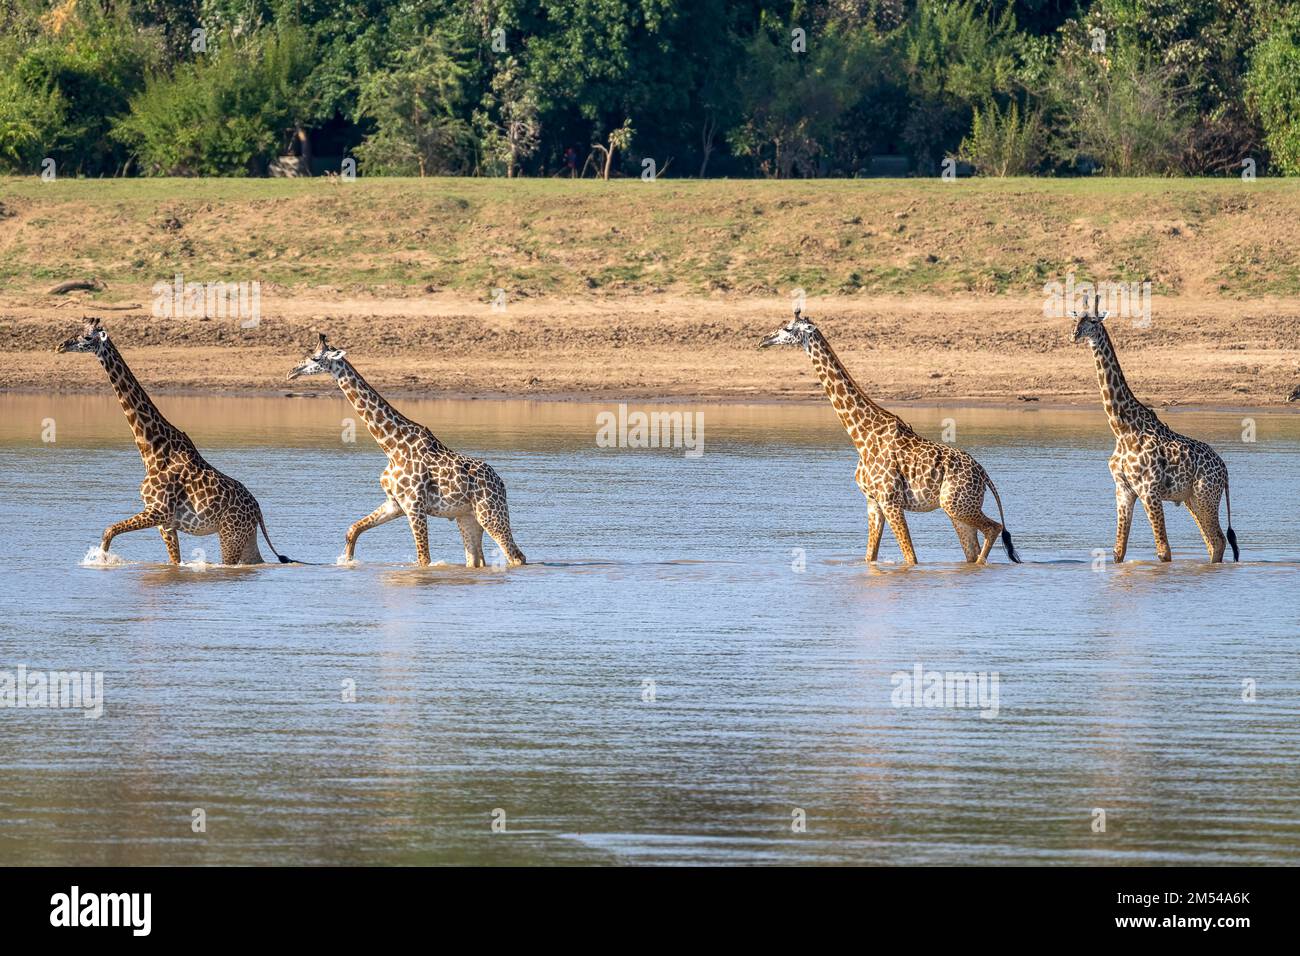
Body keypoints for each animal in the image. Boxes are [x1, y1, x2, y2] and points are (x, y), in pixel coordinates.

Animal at [55, 317, 292, 564]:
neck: (152, 450)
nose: (60, 346)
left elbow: (108, 530)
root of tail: (257, 510)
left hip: (231, 534)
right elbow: (173, 561)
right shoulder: (165, 523)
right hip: (245, 537)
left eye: (87, 337)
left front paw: (101, 560)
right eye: (76, 330)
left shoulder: (159, 511)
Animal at [287, 335, 525, 567]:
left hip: (490, 513)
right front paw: (347, 561)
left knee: (515, 556)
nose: (291, 372)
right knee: (475, 560)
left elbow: (424, 559)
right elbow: (353, 529)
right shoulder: (395, 503)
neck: (392, 447)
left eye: (316, 358)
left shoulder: (414, 505)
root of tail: (500, 483)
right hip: (467, 516)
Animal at [759, 314, 1019, 564]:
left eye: (788, 329)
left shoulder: (890, 501)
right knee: (971, 551)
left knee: (994, 528)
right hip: (957, 509)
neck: (861, 436)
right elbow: (870, 557)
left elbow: (911, 558)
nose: (763, 340)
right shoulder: (873, 503)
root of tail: (984, 475)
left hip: (956, 504)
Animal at [1071, 295, 1242, 564]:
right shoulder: (1123, 491)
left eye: (1094, 321)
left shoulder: (1149, 490)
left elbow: (1163, 551)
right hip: (1193, 499)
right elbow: (1118, 551)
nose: (1075, 334)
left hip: (1206, 496)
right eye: (1076, 318)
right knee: (1213, 543)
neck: (1122, 430)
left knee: (1218, 540)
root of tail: (1224, 471)